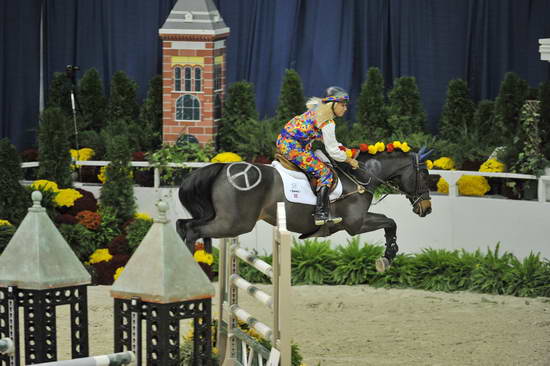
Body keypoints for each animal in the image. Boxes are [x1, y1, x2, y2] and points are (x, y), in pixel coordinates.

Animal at [177, 147, 436, 270]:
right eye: (424, 175)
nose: (427, 208)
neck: (360, 177)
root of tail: (222, 168)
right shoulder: (357, 224)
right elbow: (391, 222)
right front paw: (388, 257)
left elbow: (390, 222)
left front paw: (387, 257)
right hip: (233, 223)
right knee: (192, 230)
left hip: (222, 219)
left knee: (183, 225)